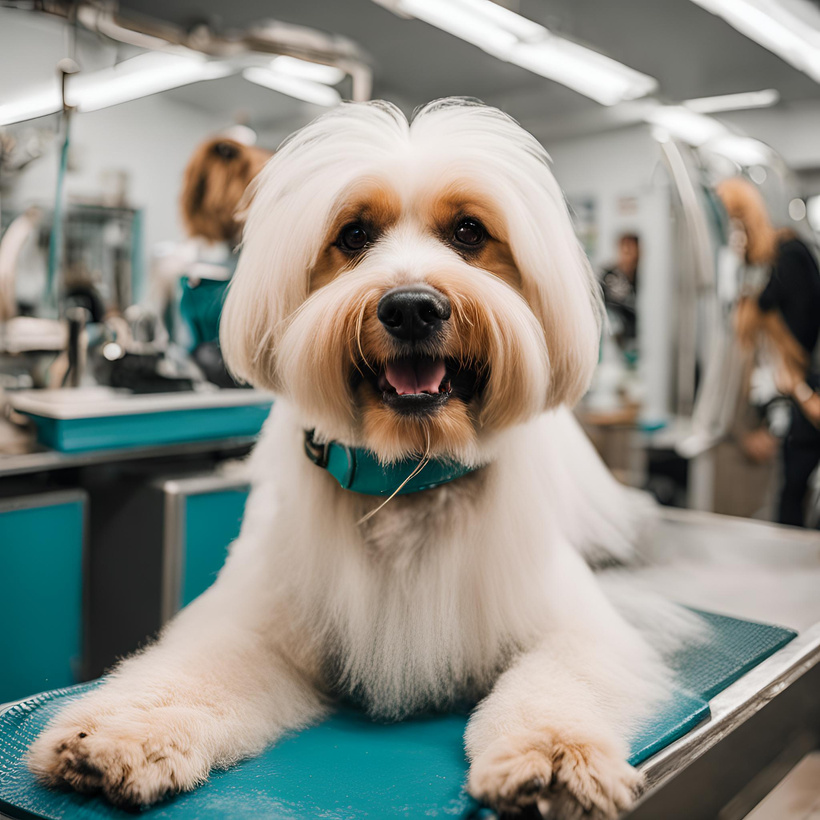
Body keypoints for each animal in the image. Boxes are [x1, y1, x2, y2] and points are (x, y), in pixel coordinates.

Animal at [30, 101, 672, 820]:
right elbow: (191, 673)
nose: (412, 307)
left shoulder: (574, 625)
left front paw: (556, 758)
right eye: (355, 233)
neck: (407, 474)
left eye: (469, 232)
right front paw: (114, 735)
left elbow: (561, 681)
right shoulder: (257, 620)